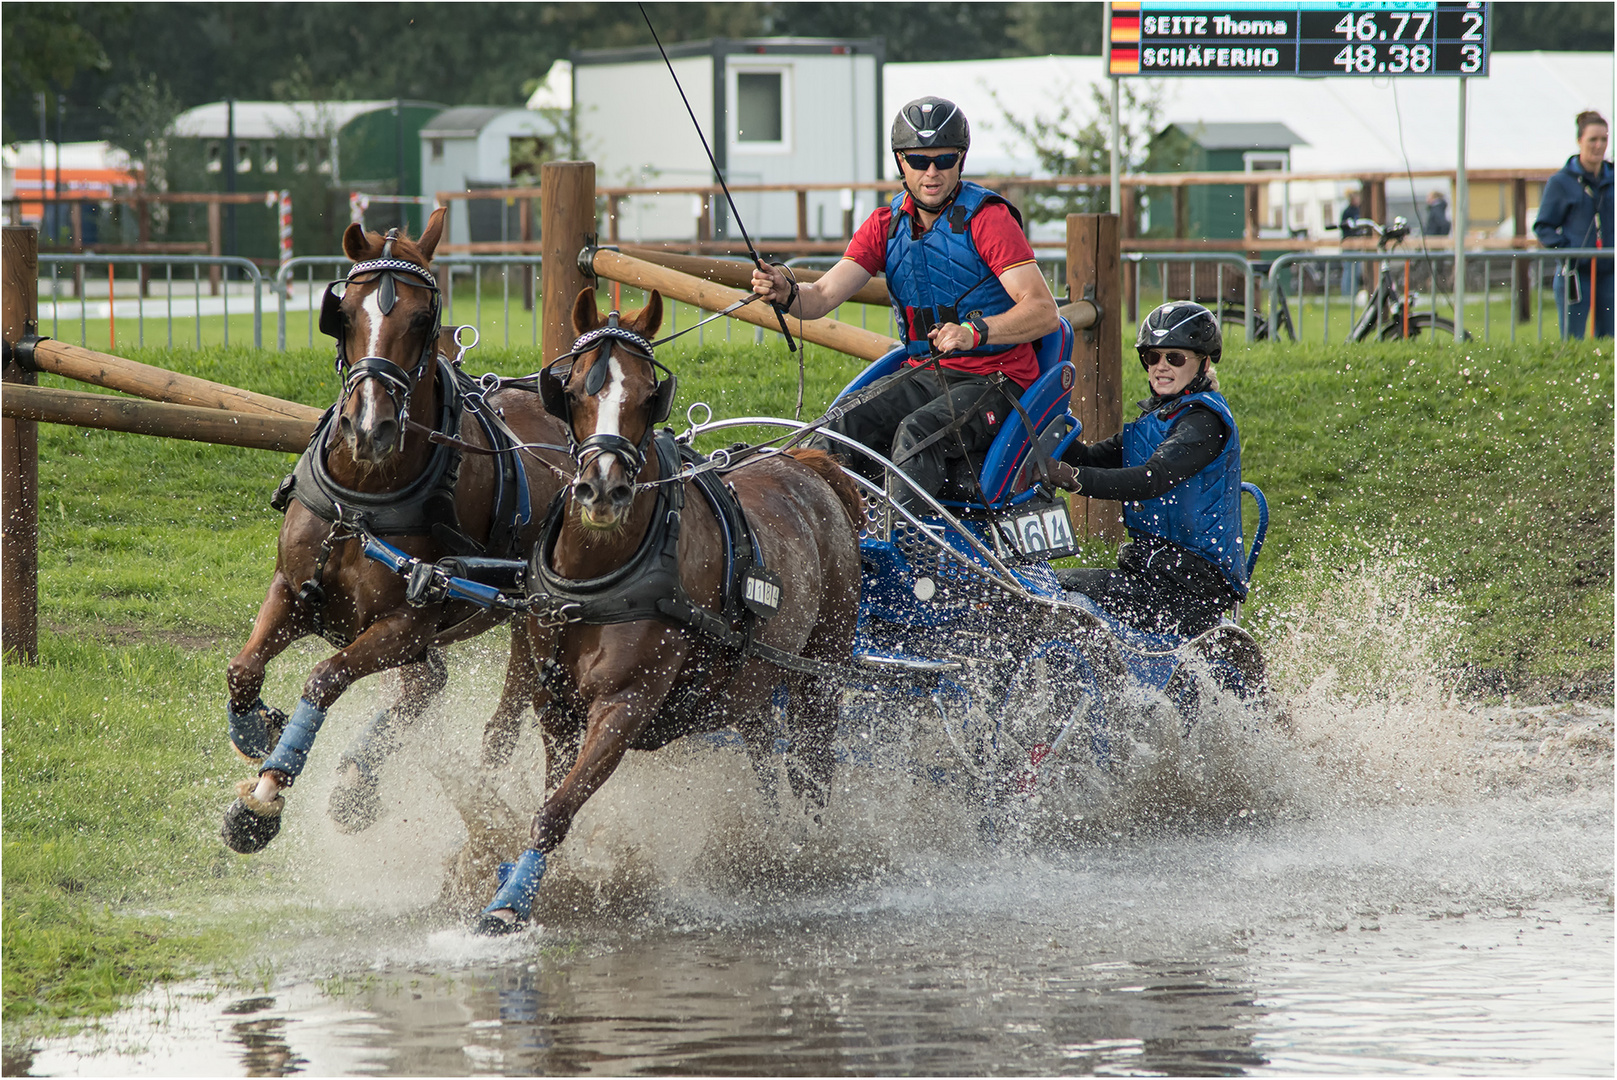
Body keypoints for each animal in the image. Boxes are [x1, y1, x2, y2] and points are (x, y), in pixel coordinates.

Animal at [215, 208, 569, 853]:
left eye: (423, 318)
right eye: (344, 312)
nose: (369, 427)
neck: (364, 498)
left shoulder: (404, 624)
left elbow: (325, 677)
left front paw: (265, 797)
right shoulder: (292, 588)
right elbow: (243, 668)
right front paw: (254, 732)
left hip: (529, 622)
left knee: (494, 712)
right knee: (424, 689)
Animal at [472, 291, 866, 931]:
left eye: (647, 393)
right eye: (572, 390)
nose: (602, 491)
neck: (598, 575)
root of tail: (810, 467)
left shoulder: (625, 704)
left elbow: (556, 810)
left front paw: (508, 904)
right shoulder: (554, 707)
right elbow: (551, 797)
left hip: (820, 677)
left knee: (812, 772)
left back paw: (810, 858)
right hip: (751, 685)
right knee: (765, 758)